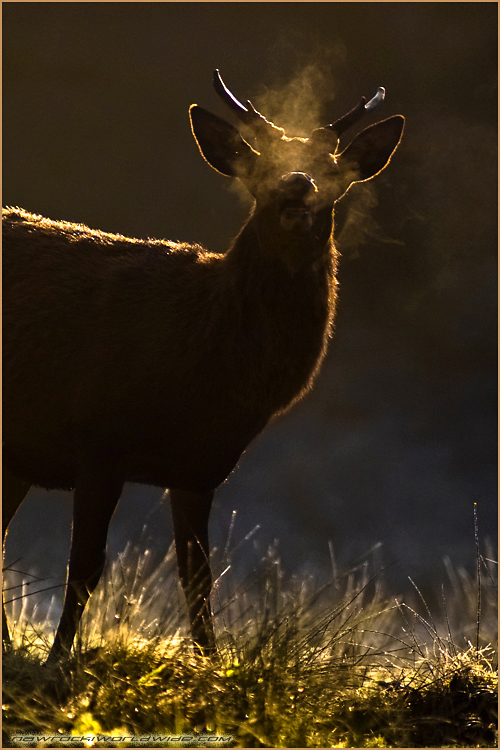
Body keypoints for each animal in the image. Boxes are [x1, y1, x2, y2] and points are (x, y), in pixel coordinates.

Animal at [1, 72, 404, 664]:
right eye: (261, 166)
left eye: (333, 169)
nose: (296, 185)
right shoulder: (98, 436)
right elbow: (85, 568)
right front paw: (57, 663)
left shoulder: (200, 469)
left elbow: (199, 580)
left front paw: (212, 665)